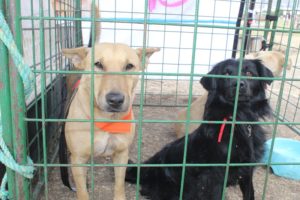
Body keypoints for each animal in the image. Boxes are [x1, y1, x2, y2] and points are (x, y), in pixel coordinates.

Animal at [61, 43, 159, 199]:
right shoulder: (78, 159)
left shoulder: (121, 154)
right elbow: (82, 191)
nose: (115, 100)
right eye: (98, 64)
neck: (105, 120)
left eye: (129, 66)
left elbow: (119, 183)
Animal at [125, 58, 274, 199]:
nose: (238, 84)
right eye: (226, 74)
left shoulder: (247, 169)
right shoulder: (214, 175)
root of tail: (145, 169)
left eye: (249, 73)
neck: (238, 121)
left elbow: (250, 193)